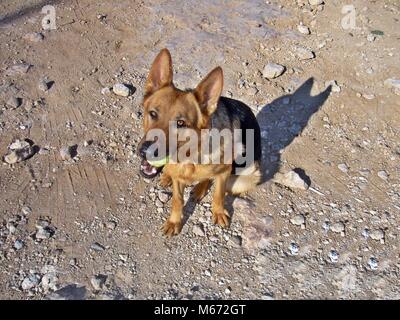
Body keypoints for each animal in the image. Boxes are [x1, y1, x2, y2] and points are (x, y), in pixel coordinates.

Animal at [138, 48, 262, 236]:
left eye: (181, 123)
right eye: (153, 113)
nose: (145, 151)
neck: (190, 157)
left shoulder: (224, 173)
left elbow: (218, 194)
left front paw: (218, 212)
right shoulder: (178, 180)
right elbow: (177, 200)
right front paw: (174, 221)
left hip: (245, 176)